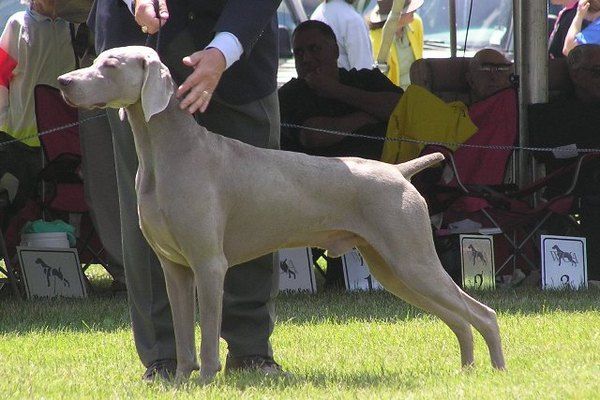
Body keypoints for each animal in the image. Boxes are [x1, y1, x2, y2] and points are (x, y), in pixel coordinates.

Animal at [57, 45, 506, 382]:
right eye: (97, 60)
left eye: (110, 65)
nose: (63, 82)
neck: (165, 154)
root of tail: (398, 170)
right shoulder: (175, 268)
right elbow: (184, 336)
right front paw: (181, 381)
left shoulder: (209, 264)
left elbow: (208, 336)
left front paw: (205, 382)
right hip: (391, 268)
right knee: (459, 319)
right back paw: (466, 371)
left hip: (412, 258)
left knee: (483, 314)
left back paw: (496, 372)